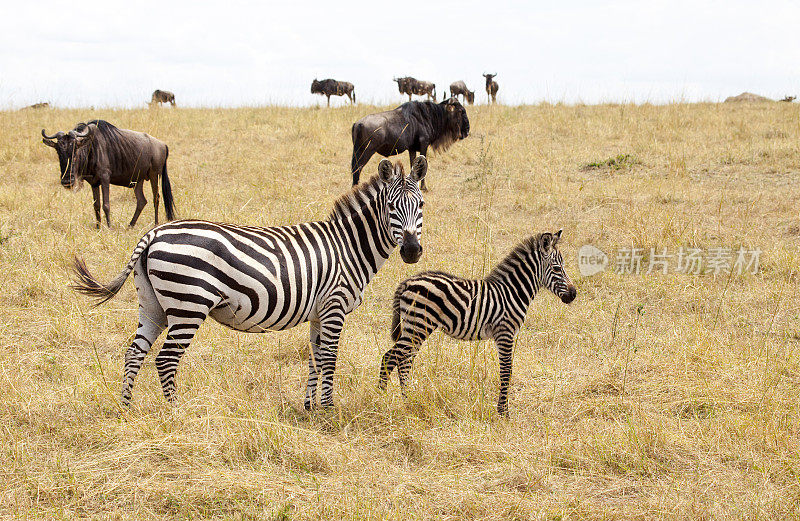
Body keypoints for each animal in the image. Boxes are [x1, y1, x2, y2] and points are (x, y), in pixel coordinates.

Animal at [72, 156, 428, 408]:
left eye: (421, 205)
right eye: (392, 207)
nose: (412, 251)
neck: (347, 246)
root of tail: (153, 233)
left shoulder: (319, 312)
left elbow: (314, 358)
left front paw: (310, 407)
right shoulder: (334, 306)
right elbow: (329, 358)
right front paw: (328, 409)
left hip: (152, 305)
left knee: (134, 354)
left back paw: (126, 408)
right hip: (189, 304)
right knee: (165, 359)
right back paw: (176, 412)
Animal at [380, 231, 576, 414]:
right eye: (557, 268)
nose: (573, 294)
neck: (512, 292)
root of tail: (408, 282)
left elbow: (505, 370)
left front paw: (502, 410)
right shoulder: (505, 332)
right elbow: (507, 371)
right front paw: (503, 412)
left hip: (415, 327)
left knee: (404, 361)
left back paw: (408, 401)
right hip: (418, 325)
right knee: (390, 358)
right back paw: (380, 398)